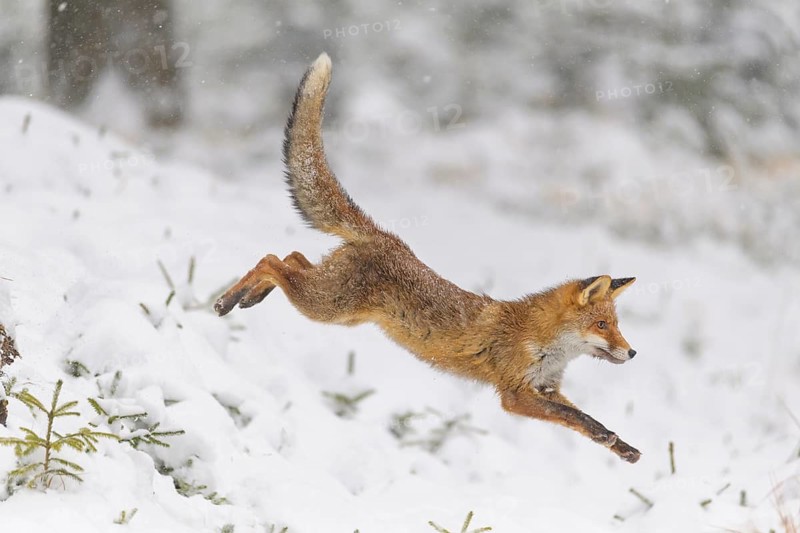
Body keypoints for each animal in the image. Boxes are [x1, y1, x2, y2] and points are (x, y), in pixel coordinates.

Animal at [215, 53, 641, 463]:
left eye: (615, 325)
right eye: (602, 324)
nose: (633, 351)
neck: (542, 342)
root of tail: (386, 237)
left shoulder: (546, 387)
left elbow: (583, 420)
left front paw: (622, 448)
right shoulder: (515, 393)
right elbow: (575, 417)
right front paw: (612, 439)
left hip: (338, 308)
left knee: (293, 257)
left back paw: (249, 296)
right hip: (324, 306)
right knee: (272, 260)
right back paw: (227, 301)